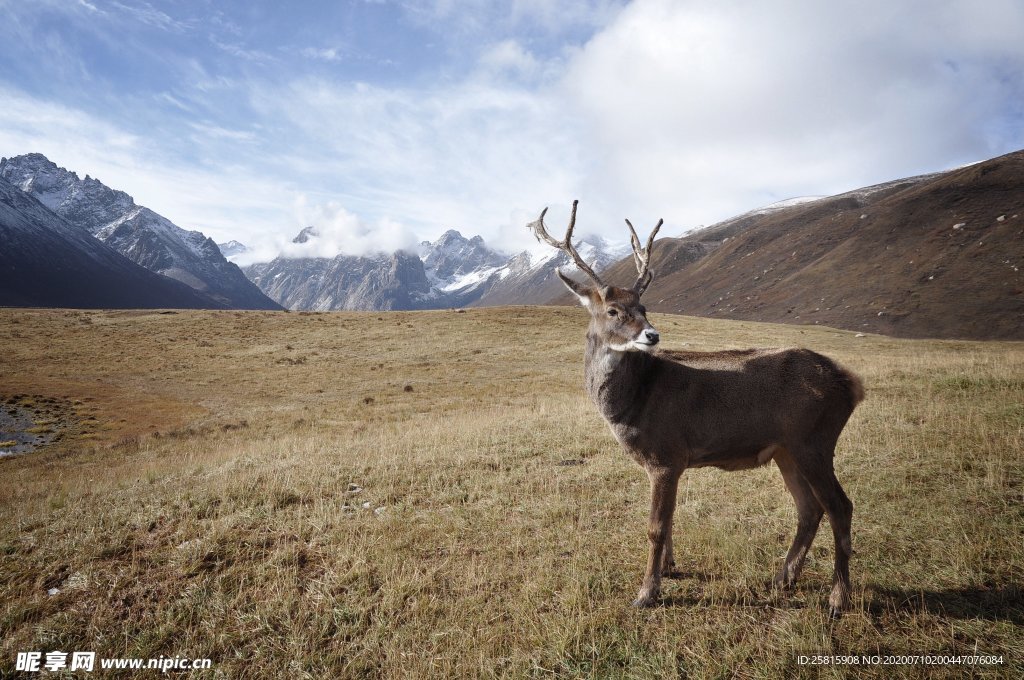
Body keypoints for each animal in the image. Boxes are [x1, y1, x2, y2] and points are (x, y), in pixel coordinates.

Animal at [532, 200, 868, 614]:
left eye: (643, 306)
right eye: (612, 310)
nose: (652, 334)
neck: (633, 402)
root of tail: (852, 384)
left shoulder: (665, 454)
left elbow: (655, 527)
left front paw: (646, 593)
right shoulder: (669, 462)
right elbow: (670, 520)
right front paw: (670, 568)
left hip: (815, 440)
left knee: (840, 506)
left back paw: (838, 598)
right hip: (787, 449)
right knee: (810, 508)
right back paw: (783, 578)